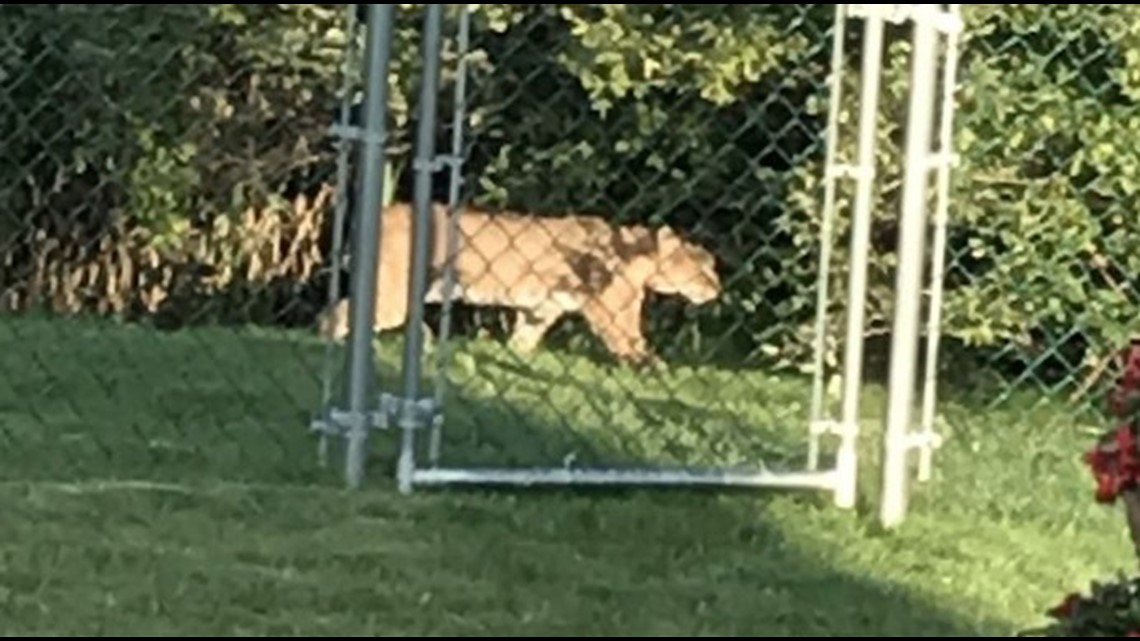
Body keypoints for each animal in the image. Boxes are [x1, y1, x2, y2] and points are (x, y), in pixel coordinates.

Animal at [316, 201, 715, 364]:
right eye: (703, 270)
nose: (717, 289)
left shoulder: (542, 308)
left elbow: (523, 340)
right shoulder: (611, 311)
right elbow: (631, 339)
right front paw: (651, 367)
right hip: (393, 296)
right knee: (336, 314)